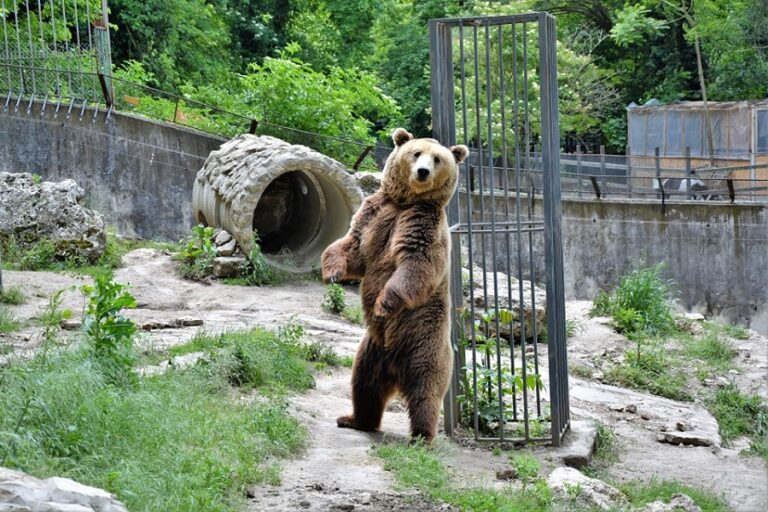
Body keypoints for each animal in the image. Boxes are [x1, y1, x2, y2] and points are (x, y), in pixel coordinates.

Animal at [320, 126, 468, 442]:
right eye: (416, 153)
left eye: (437, 158)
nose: (422, 172)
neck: (405, 202)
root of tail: (396, 372)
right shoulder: (376, 213)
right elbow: (352, 246)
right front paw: (333, 273)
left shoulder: (422, 225)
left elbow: (415, 266)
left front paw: (382, 305)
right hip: (371, 351)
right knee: (364, 385)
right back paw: (354, 419)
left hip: (424, 343)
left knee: (425, 393)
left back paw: (421, 436)